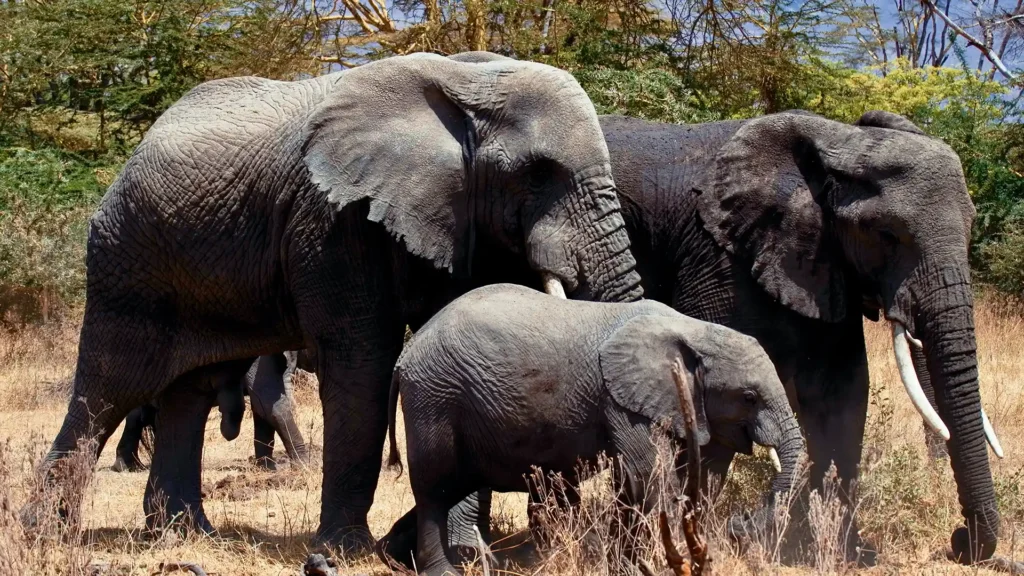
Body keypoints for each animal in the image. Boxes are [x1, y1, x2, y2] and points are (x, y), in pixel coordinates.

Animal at [111, 350, 311, 471]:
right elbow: (269, 403)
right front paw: (305, 464)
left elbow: (261, 408)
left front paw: (267, 468)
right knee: (137, 417)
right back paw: (126, 467)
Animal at [382, 282, 798, 573]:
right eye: (749, 396)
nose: (740, 524)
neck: (692, 330)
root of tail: (405, 355)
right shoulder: (621, 400)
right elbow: (647, 474)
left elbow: (685, 475)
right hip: (434, 396)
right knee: (435, 488)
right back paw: (443, 571)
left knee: (452, 485)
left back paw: (395, 553)